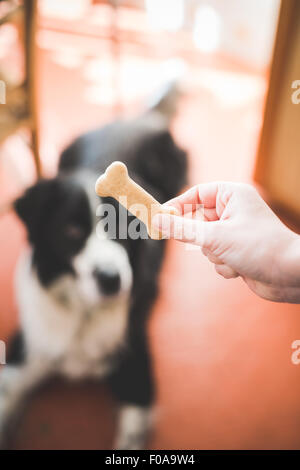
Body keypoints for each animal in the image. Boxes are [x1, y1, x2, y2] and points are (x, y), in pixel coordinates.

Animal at [0, 86, 188, 450]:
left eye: (125, 227)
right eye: (72, 230)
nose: (111, 280)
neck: (84, 314)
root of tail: (140, 119)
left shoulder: (136, 368)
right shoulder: (25, 347)